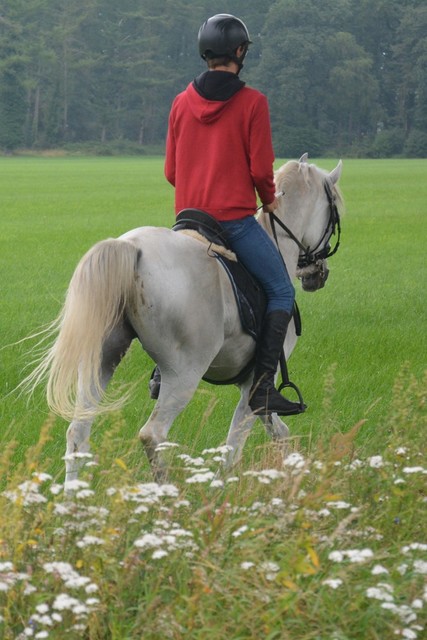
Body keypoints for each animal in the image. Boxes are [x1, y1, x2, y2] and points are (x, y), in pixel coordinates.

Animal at [27, 155, 344, 482]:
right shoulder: (255, 384)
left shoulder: (252, 387)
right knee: (152, 434)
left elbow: (279, 431)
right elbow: (233, 448)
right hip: (184, 373)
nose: (317, 274)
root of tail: (131, 247)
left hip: (102, 359)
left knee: (78, 431)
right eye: (334, 211)